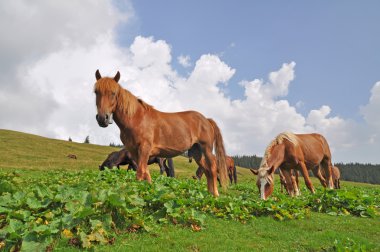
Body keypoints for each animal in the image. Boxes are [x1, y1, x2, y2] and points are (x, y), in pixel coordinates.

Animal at [93, 70, 227, 196]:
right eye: (96, 92)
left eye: (113, 93)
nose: (102, 118)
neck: (137, 118)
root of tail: (206, 120)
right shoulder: (135, 152)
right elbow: (146, 173)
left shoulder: (144, 149)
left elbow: (140, 172)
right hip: (196, 153)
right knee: (206, 170)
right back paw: (209, 195)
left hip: (206, 149)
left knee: (212, 169)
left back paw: (215, 195)